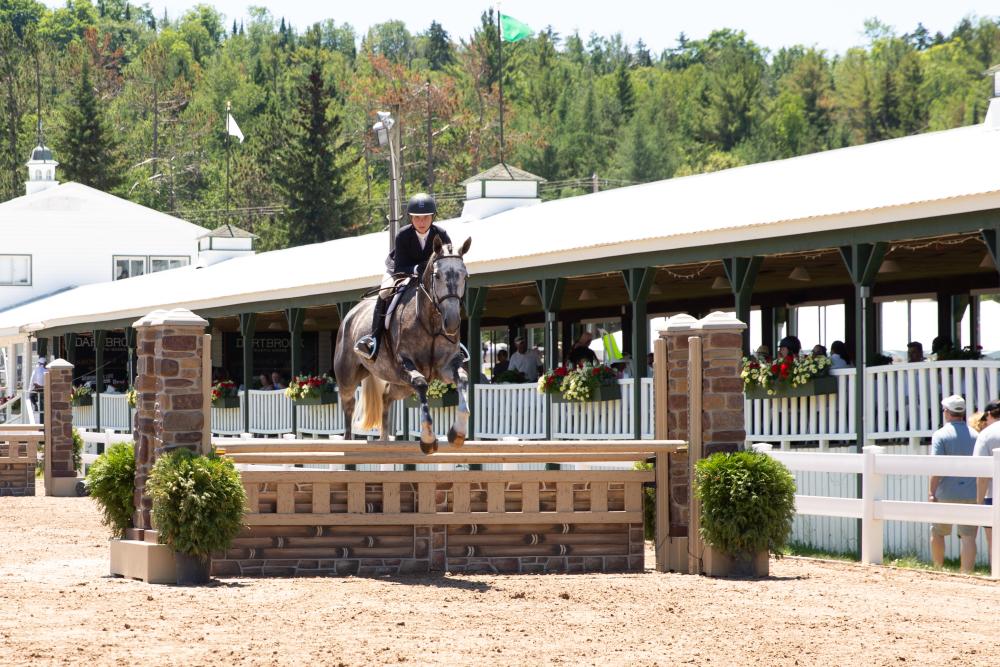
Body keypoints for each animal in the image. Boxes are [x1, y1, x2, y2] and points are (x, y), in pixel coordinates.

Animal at [332, 236, 472, 454]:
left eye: (464, 276)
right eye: (437, 276)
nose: (452, 323)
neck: (430, 321)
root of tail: (352, 313)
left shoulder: (446, 366)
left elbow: (463, 379)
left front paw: (457, 434)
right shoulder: (405, 364)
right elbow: (422, 384)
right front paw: (428, 439)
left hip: (401, 385)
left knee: (386, 397)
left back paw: (384, 440)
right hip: (347, 378)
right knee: (348, 407)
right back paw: (348, 442)